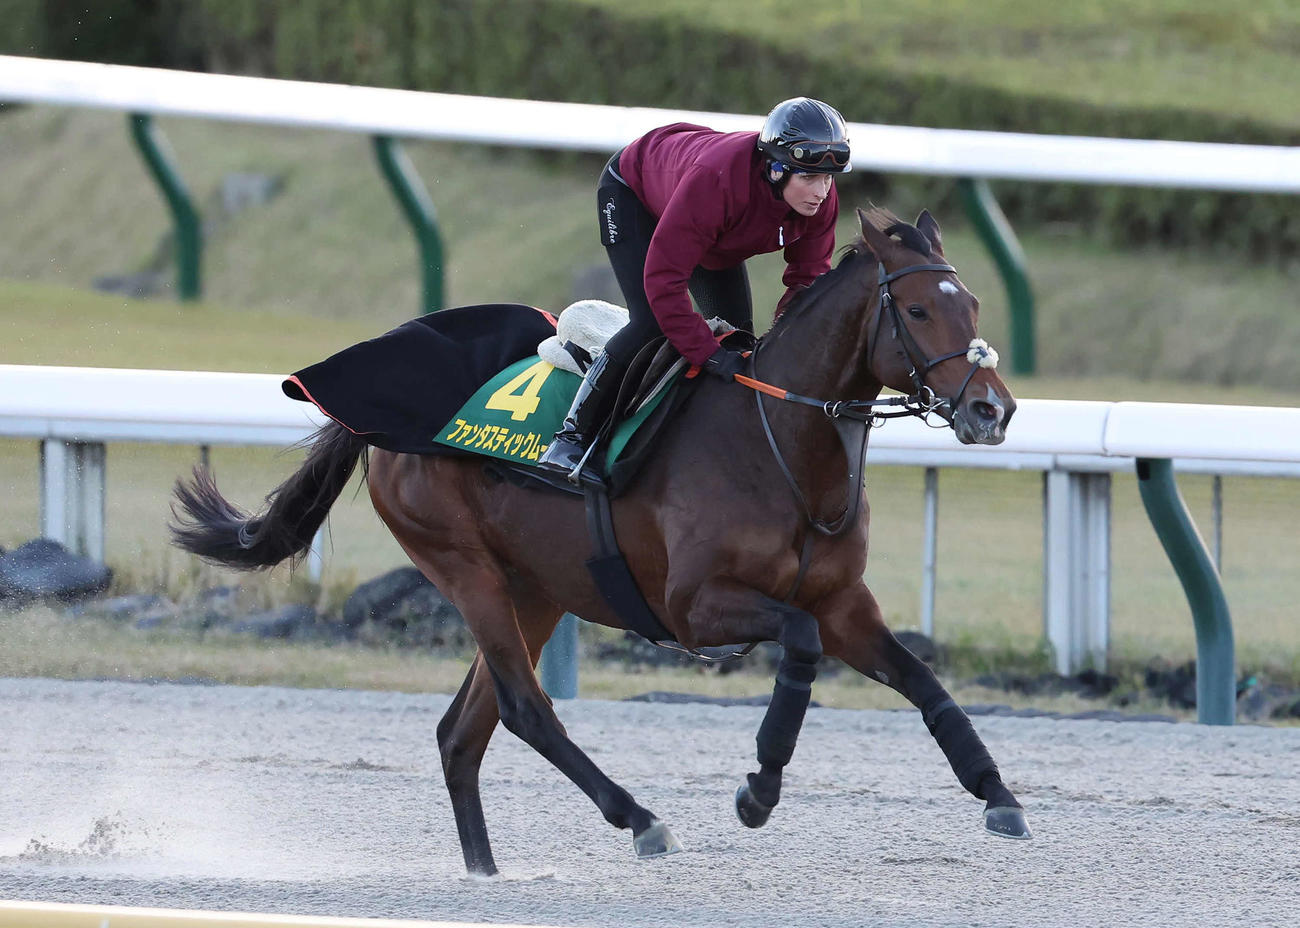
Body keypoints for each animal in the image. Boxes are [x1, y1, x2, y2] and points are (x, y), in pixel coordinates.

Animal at [170, 206, 1030, 877]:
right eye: (916, 311)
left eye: (972, 302)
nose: (992, 410)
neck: (777, 440)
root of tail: (371, 428)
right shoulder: (695, 607)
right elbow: (801, 644)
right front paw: (758, 788)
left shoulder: (844, 600)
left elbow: (923, 681)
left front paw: (1000, 795)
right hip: (466, 569)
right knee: (524, 709)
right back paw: (639, 819)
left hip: (535, 588)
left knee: (462, 732)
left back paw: (487, 873)